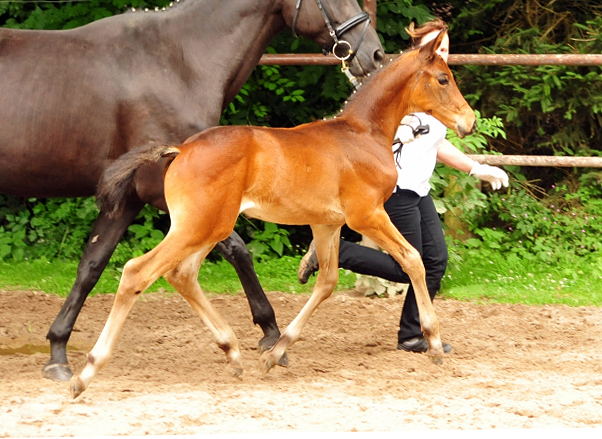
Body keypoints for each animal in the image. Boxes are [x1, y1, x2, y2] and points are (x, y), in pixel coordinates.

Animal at [70, 31, 474, 400]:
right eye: (443, 79)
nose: (469, 121)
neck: (363, 134)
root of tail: (180, 149)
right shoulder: (367, 215)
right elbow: (413, 259)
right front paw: (433, 343)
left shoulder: (327, 224)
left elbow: (326, 282)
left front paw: (275, 352)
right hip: (198, 227)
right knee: (137, 272)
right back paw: (86, 372)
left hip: (210, 228)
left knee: (181, 274)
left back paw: (232, 352)